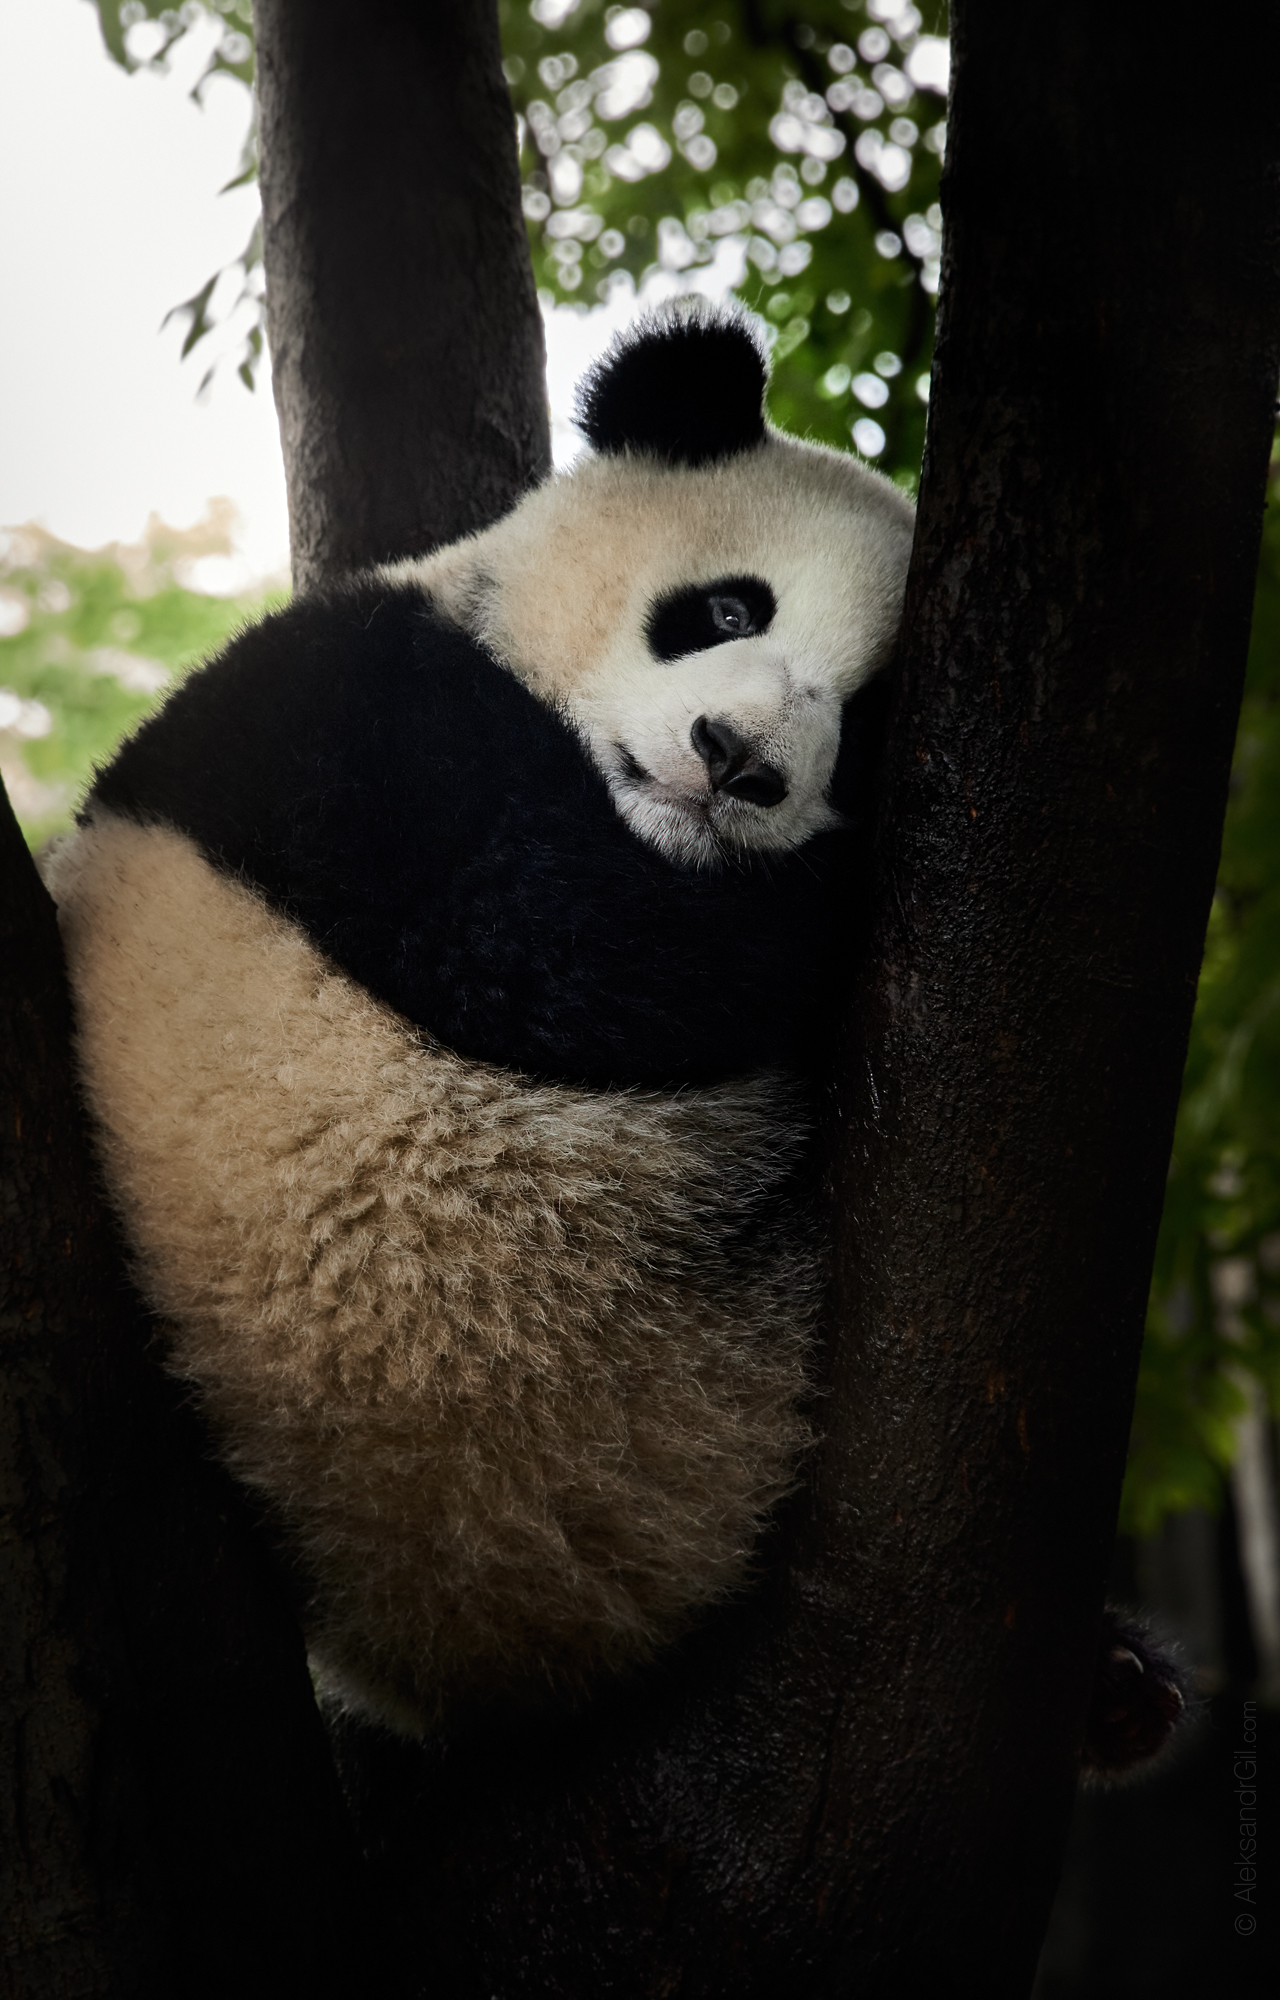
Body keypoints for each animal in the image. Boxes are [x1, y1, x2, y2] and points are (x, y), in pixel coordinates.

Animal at [46, 301, 1185, 1764]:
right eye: (727, 608)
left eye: (872, 726)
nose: (737, 760)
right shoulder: (359, 728)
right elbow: (561, 940)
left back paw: (1119, 1686)